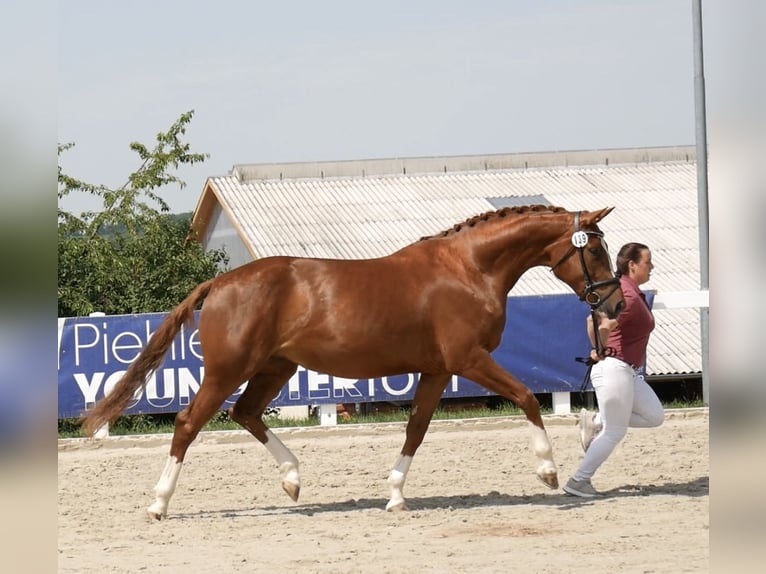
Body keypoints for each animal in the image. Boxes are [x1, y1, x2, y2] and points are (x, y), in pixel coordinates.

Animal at [82, 205, 625, 520]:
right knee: (189, 423)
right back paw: (159, 504)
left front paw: (396, 495)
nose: (615, 304)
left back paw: (293, 480)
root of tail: (219, 283)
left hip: (274, 367)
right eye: (596, 248)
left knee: (246, 414)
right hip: (227, 371)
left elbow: (417, 428)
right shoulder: (467, 359)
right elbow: (527, 397)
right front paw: (548, 471)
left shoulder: (438, 369)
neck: (469, 269)